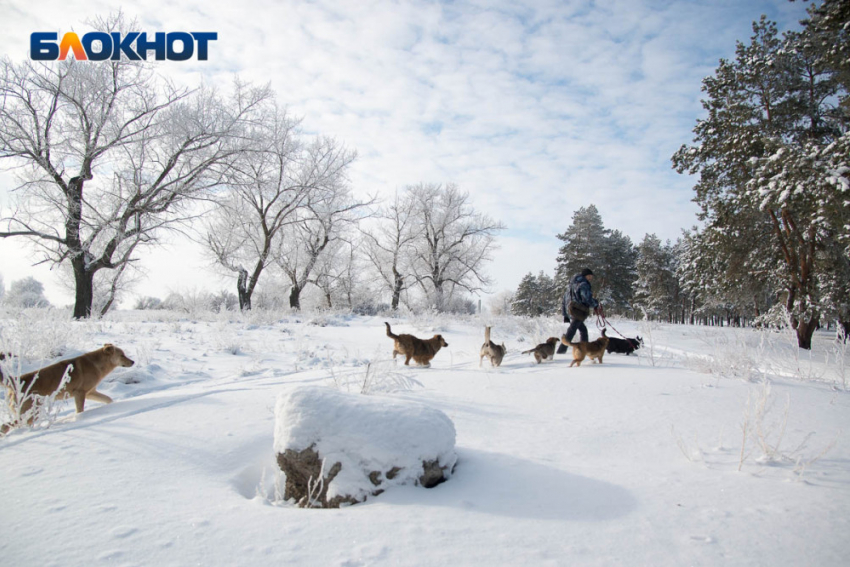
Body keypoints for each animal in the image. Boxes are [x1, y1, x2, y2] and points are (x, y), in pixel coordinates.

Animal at [2, 344, 134, 424]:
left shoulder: (91, 392)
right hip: (30, 412)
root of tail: (14, 380)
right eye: (122, 355)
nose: (133, 362)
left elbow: (108, 399)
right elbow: (80, 410)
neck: (97, 365)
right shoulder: (80, 393)